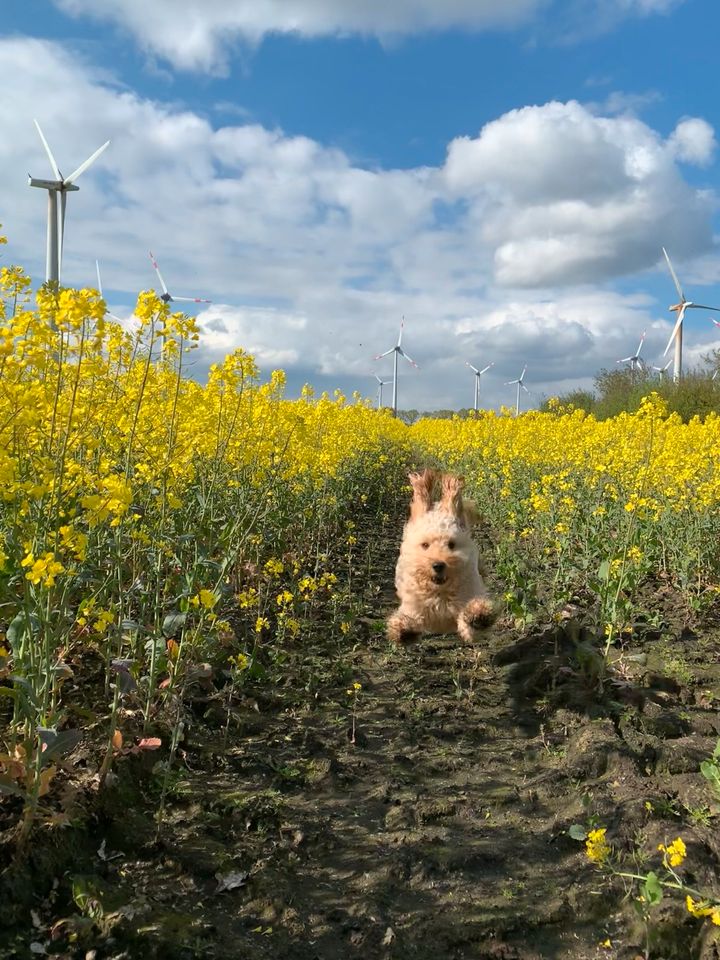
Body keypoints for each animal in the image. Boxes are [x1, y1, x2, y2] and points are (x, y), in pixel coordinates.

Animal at [388, 470, 496, 644]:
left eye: (451, 544)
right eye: (425, 545)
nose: (438, 565)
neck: (440, 592)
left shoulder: (466, 597)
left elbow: (469, 626)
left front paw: (479, 616)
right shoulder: (414, 605)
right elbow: (410, 618)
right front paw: (404, 630)